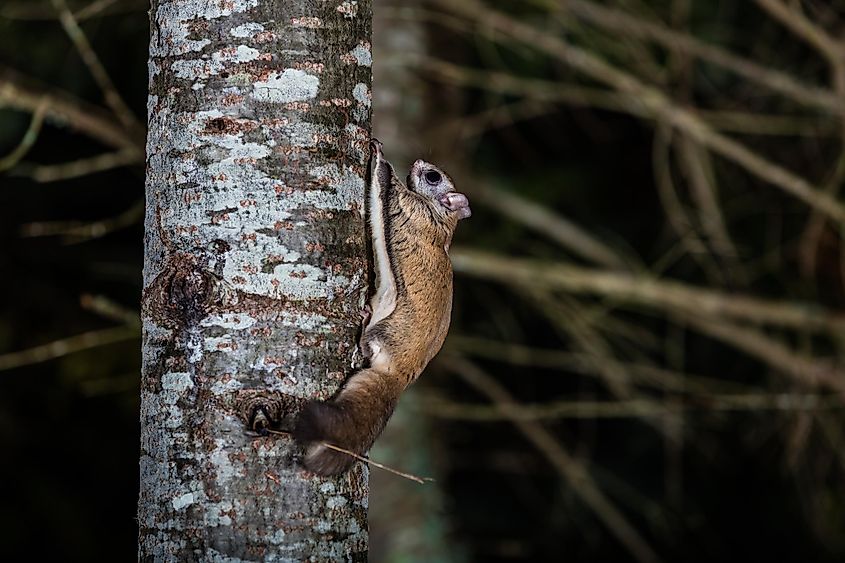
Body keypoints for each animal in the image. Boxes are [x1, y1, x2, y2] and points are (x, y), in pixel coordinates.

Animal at [294, 139, 472, 474]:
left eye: (433, 176)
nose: (417, 161)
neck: (442, 219)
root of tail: (399, 376)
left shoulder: (407, 207)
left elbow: (384, 183)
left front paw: (378, 153)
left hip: (386, 332)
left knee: (369, 345)